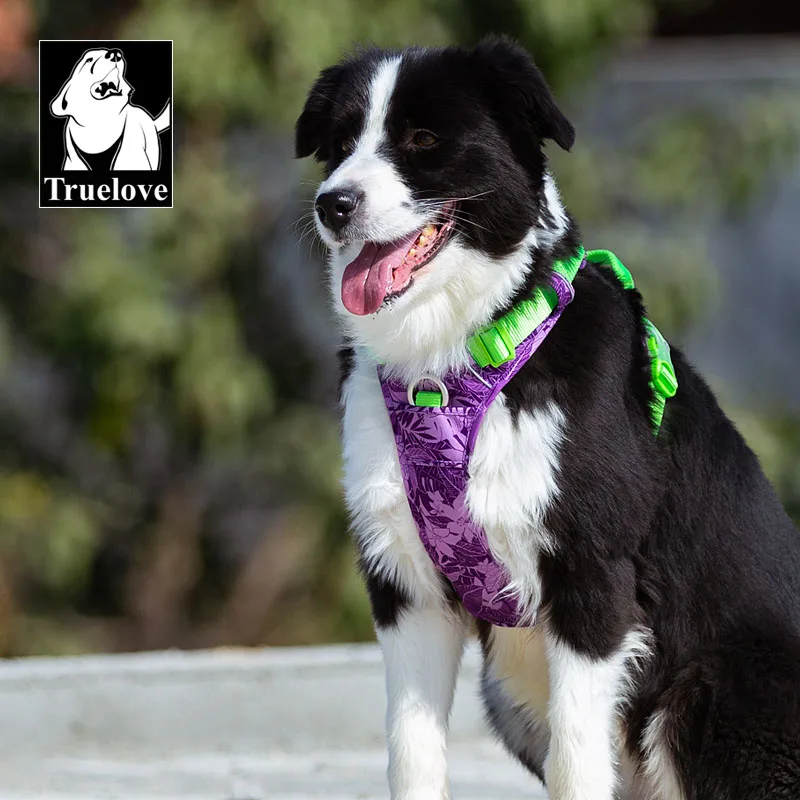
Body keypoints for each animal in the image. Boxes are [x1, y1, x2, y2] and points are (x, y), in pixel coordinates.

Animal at [294, 39, 800, 800]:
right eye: (341, 141)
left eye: (423, 140)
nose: (334, 205)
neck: (453, 362)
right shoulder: (407, 586)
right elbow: (411, 755)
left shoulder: (594, 581)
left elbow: (575, 761)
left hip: (710, 689)